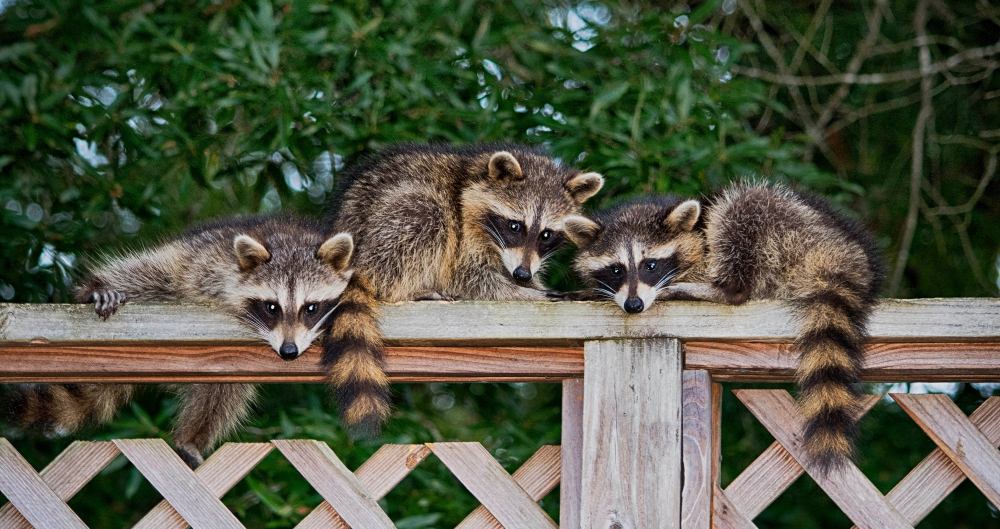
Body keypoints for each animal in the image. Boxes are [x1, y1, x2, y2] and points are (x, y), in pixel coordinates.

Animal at [2, 215, 355, 468]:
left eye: (311, 308)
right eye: (271, 307)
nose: (288, 352)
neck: (291, 241)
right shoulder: (210, 265)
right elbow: (157, 273)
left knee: (223, 392)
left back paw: (192, 437)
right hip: (194, 254)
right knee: (152, 272)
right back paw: (96, 287)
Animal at [324, 143, 604, 437]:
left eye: (546, 235)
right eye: (515, 226)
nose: (522, 274)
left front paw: (535, 285)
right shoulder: (463, 230)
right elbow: (471, 279)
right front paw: (534, 293)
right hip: (388, 225)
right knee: (424, 219)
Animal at [563, 182, 883, 471]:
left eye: (650, 265)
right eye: (616, 269)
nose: (634, 305)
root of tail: (845, 252)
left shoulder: (704, 251)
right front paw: (590, 291)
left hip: (787, 230)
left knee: (743, 208)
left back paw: (717, 289)